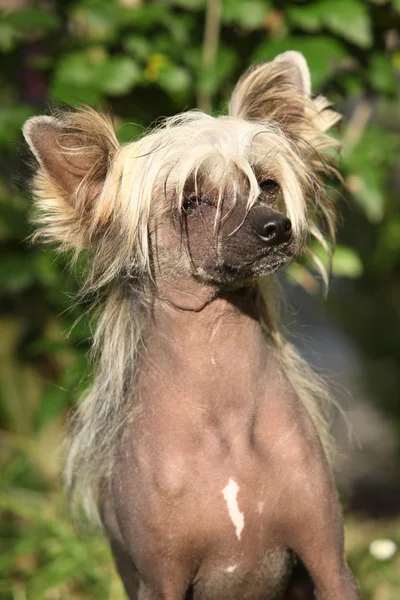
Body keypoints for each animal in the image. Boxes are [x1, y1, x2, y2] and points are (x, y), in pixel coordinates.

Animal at [22, 51, 360, 600]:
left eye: (266, 185)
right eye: (193, 200)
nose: (275, 227)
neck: (225, 412)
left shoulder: (329, 561)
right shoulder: (162, 580)